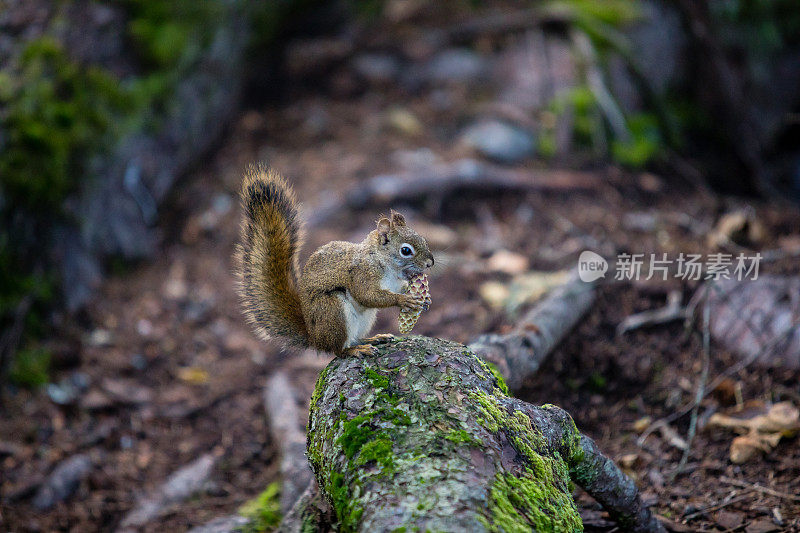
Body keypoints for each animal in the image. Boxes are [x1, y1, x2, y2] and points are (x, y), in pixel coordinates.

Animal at [234, 165, 434, 358]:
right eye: (406, 251)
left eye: (423, 239)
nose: (430, 263)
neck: (384, 263)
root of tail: (315, 337)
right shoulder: (362, 273)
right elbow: (367, 295)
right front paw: (404, 300)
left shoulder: (394, 282)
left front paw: (425, 298)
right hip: (333, 311)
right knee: (338, 349)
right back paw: (355, 350)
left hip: (365, 318)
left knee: (354, 338)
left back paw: (374, 338)